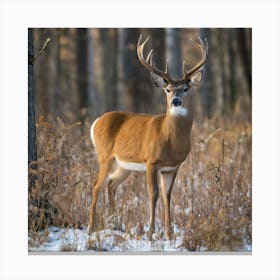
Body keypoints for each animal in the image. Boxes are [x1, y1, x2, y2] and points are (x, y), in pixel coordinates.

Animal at [87, 34, 208, 240]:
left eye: (185, 89)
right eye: (168, 90)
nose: (176, 101)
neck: (171, 141)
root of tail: (96, 122)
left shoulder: (173, 166)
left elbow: (168, 196)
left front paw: (169, 234)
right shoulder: (151, 161)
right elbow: (154, 194)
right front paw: (151, 232)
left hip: (124, 164)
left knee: (111, 184)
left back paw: (115, 225)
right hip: (105, 155)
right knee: (96, 185)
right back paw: (90, 228)